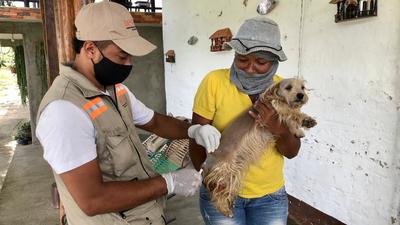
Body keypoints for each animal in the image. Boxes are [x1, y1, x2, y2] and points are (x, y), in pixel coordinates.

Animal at [205, 78, 318, 217]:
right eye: (288, 87)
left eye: (302, 87)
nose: (301, 95)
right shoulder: (277, 109)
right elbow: (292, 113)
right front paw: (305, 120)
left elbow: (292, 122)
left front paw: (299, 130)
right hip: (226, 173)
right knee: (217, 193)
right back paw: (225, 210)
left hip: (235, 174)